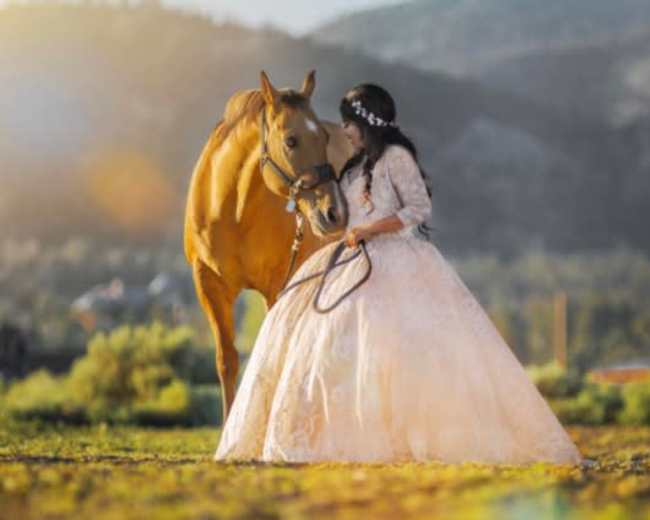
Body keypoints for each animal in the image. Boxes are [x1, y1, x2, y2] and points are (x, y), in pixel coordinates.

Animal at [184, 70, 353, 420]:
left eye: (324, 138)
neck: (234, 212)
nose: (335, 213)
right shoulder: (209, 282)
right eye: (291, 140)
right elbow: (227, 360)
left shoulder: (278, 285)